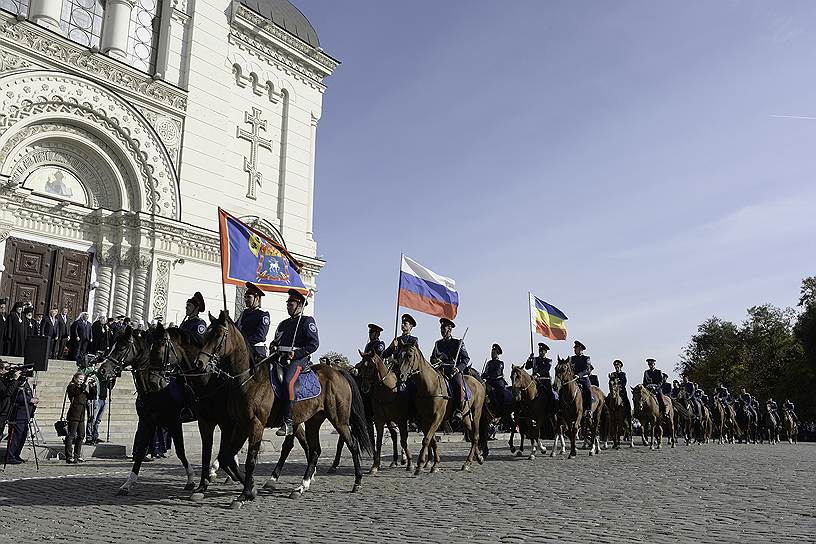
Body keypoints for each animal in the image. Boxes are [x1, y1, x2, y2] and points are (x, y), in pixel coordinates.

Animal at [102, 326, 198, 496]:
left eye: (121, 348)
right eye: (112, 346)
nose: (102, 369)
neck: (156, 388)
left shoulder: (174, 422)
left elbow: (180, 451)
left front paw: (191, 479)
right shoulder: (148, 422)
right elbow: (141, 451)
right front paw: (128, 484)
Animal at [194, 310, 372, 506]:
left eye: (218, 335)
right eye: (205, 335)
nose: (199, 363)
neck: (248, 379)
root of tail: (338, 371)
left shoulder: (255, 424)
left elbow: (250, 460)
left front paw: (245, 494)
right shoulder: (240, 423)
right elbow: (227, 457)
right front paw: (250, 489)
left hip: (339, 420)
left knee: (352, 444)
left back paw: (357, 481)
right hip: (313, 421)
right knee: (315, 450)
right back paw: (301, 487)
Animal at [394, 342, 484, 474]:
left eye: (409, 355)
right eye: (399, 355)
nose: (400, 375)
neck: (429, 386)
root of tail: (478, 383)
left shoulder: (437, 417)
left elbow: (427, 439)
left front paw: (420, 464)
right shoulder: (424, 419)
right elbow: (432, 440)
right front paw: (434, 464)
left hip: (476, 413)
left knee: (476, 436)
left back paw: (467, 462)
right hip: (465, 417)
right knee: (472, 436)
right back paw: (476, 458)